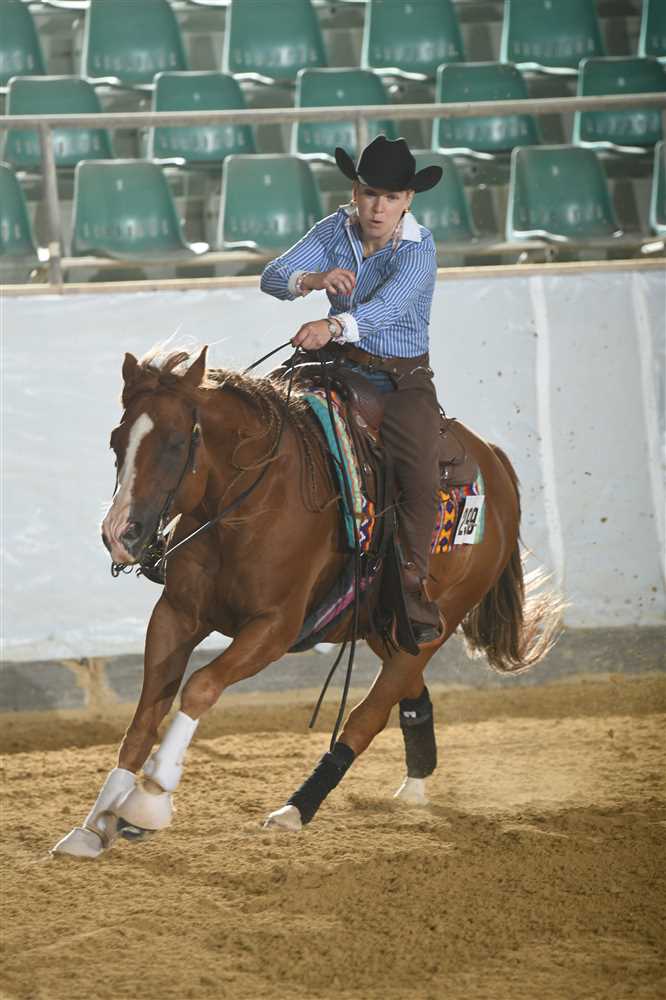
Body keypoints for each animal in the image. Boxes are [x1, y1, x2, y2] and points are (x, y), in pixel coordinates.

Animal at [52, 344, 561, 858]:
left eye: (177, 444)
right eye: (116, 441)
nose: (119, 534)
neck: (245, 506)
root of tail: (493, 459)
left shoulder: (275, 627)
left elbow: (200, 686)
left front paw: (148, 801)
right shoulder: (175, 616)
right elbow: (142, 719)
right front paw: (95, 824)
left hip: (434, 624)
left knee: (367, 715)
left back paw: (295, 809)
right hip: (384, 628)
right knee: (409, 693)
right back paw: (415, 785)